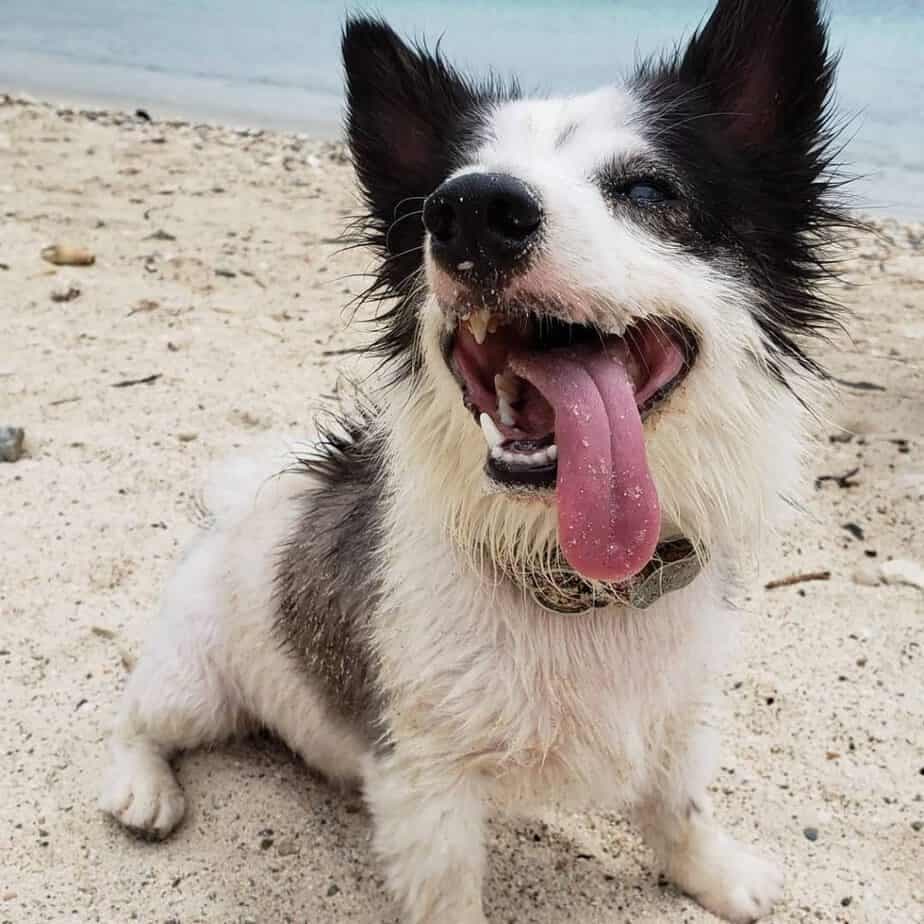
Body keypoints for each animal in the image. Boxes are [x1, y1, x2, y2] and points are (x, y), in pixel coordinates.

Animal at [99, 3, 844, 920]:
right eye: (434, 204)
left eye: (647, 192)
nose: (475, 211)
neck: (573, 583)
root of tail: (243, 506)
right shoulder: (429, 784)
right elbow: (451, 889)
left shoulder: (682, 714)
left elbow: (680, 806)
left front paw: (717, 873)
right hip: (193, 685)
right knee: (136, 715)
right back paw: (142, 786)